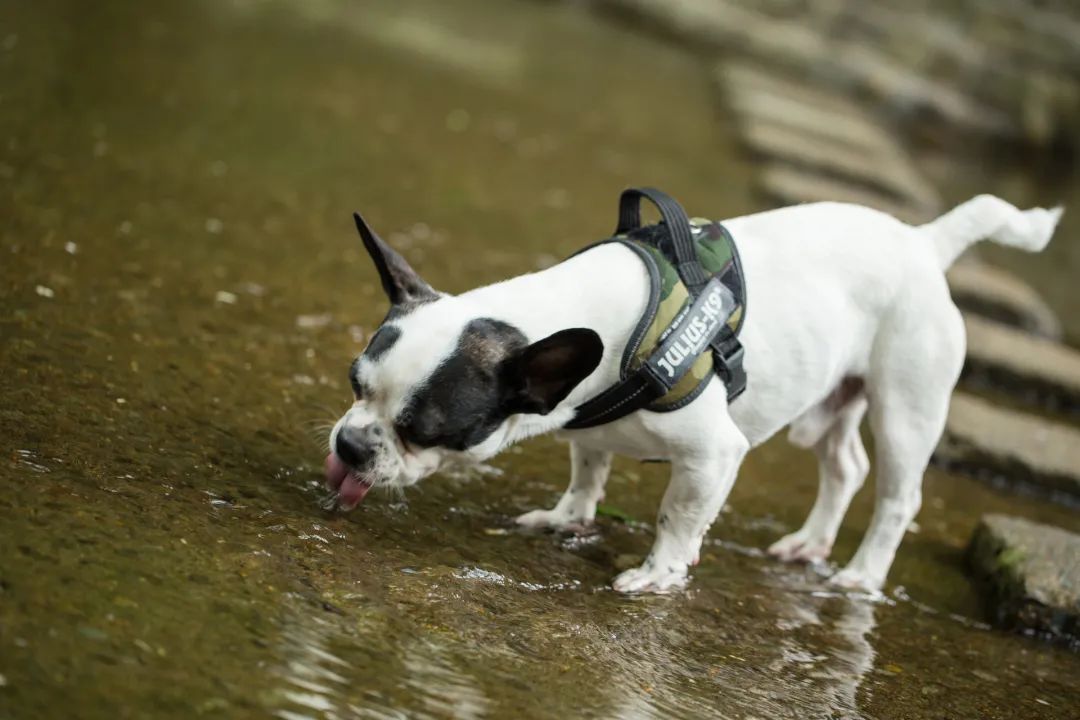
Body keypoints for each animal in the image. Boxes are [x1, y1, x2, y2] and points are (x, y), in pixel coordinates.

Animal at [321, 194, 1062, 595]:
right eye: (354, 384)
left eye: (425, 430)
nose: (350, 445)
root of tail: (924, 242)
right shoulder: (585, 423)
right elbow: (588, 467)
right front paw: (569, 517)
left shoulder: (713, 456)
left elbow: (676, 515)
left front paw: (661, 574)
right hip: (830, 401)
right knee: (844, 466)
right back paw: (809, 543)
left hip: (906, 405)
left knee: (897, 496)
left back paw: (861, 573)